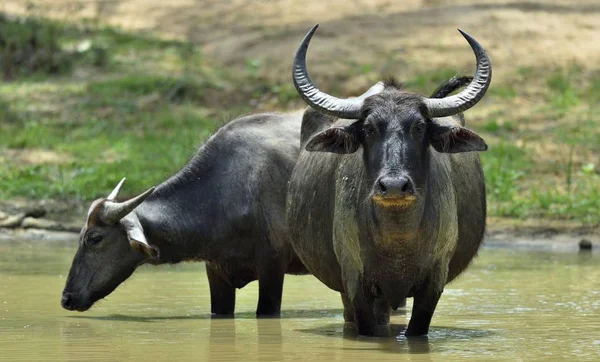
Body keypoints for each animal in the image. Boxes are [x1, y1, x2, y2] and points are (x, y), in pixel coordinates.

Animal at [288, 25, 492, 336]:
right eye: (369, 128)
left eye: (419, 127)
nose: (394, 185)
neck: (397, 235)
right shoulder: (355, 281)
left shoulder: (433, 283)